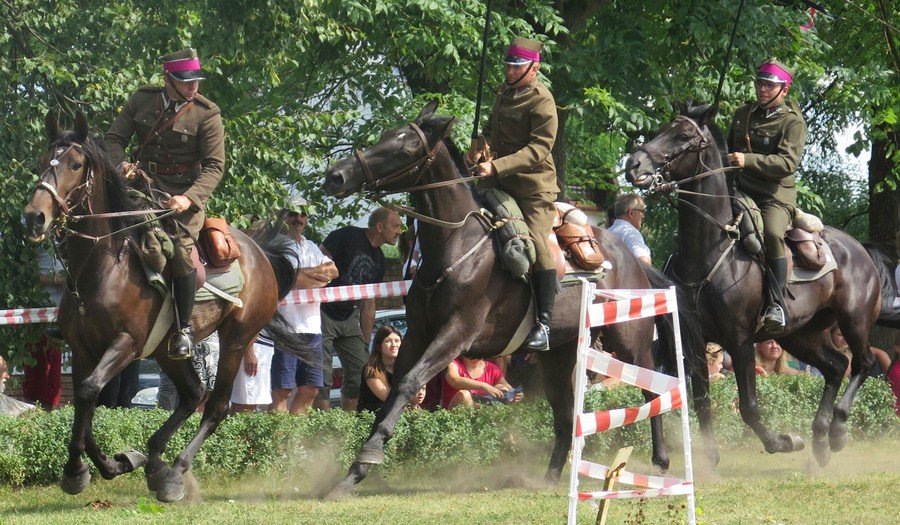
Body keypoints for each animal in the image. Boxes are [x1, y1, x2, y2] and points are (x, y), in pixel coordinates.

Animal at [22, 112, 314, 502]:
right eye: (41, 163)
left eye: (75, 164)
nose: (34, 217)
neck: (103, 269)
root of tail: (259, 253)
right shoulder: (82, 349)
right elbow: (86, 402)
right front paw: (110, 464)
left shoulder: (126, 344)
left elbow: (87, 394)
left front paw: (77, 470)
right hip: (165, 350)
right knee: (192, 393)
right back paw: (155, 460)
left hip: (235, 340)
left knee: (215, 406)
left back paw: (175, 472)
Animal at [322, 100, 712, 498]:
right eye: (384, 136)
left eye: (404, 149)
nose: (337, 175)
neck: (455, 246)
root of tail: (632, 259)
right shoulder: (417, 335)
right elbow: (394, 391)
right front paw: (352, 474)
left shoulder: (454, 334)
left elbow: (407, 384)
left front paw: (368, 457)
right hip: (559, 355)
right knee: (565, 414)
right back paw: (551, 476)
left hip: (629, 340)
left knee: (650, 390)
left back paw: (661, 460)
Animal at [624, 104, 900, 464]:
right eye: (660, 130)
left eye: (682, 136)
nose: (633, 165)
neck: (710, 250)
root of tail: (861, 250)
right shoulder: (696, 340)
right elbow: (702, 400)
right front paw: (711, 459)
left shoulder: (740, 341)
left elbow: (749, 406)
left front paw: (782, 442)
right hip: (800, 334)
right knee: (836, 366)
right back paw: (820, 440)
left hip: (853, 321)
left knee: (862, 363)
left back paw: (837, 430)